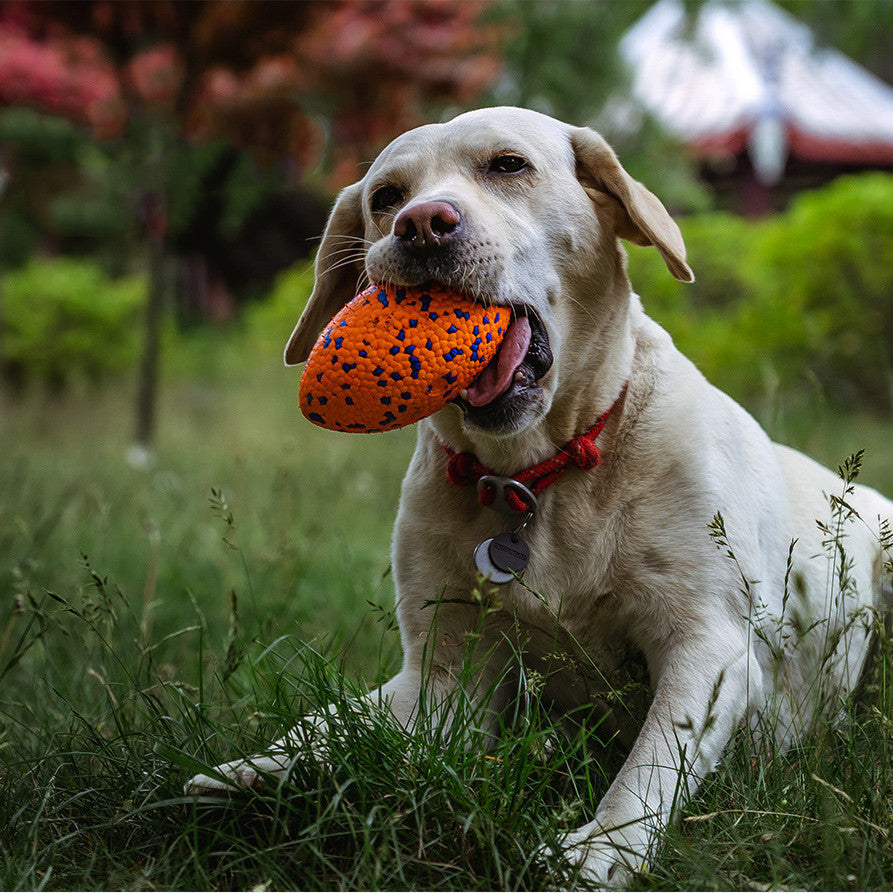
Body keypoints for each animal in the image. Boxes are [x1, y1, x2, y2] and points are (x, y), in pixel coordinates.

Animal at [185, 106, 888, 884]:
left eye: (508, 165)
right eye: (386, 196)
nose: (422, 224)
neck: (539, 473)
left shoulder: (707, 640)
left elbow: (651, 761)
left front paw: (599, 850)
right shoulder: (444, 670)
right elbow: (365, 725)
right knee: (333, 718)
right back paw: (249, 773)